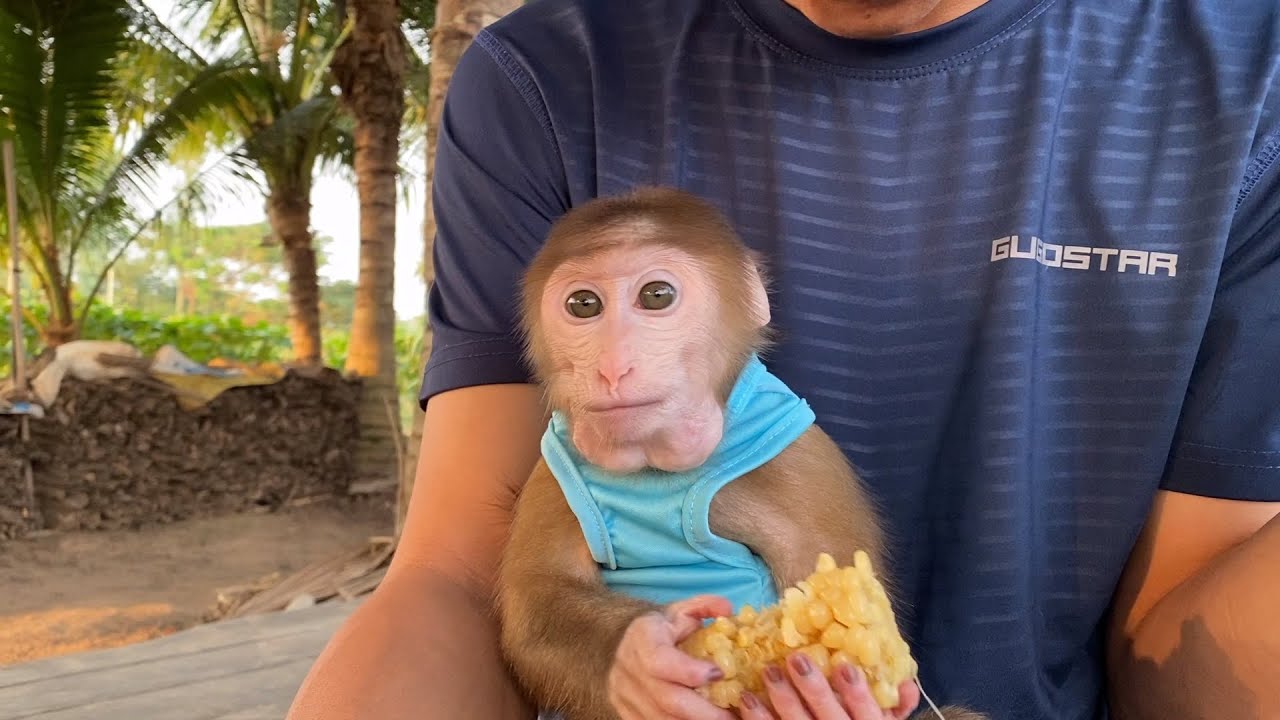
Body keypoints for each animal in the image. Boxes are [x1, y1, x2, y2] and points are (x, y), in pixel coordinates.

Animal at [496, 186, 988, 720]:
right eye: (583, 304)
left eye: (656, 296)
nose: (612, 368)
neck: (659, 469)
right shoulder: (557, 466)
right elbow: (538, 602)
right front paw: (640, 663)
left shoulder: (801, 466)